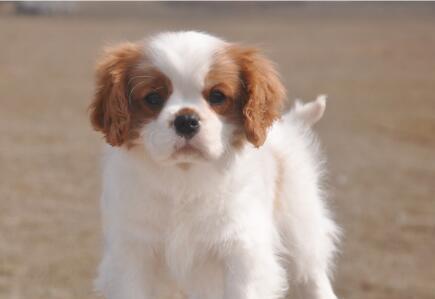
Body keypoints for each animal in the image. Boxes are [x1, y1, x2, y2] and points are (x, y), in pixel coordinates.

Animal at [89, 31, 340, 299]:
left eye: (217, 96)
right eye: (153, 98)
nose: (186, 120)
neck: (184, 178)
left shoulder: (242, 251)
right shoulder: (131, 253)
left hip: (300, 228)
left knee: (312, 275)